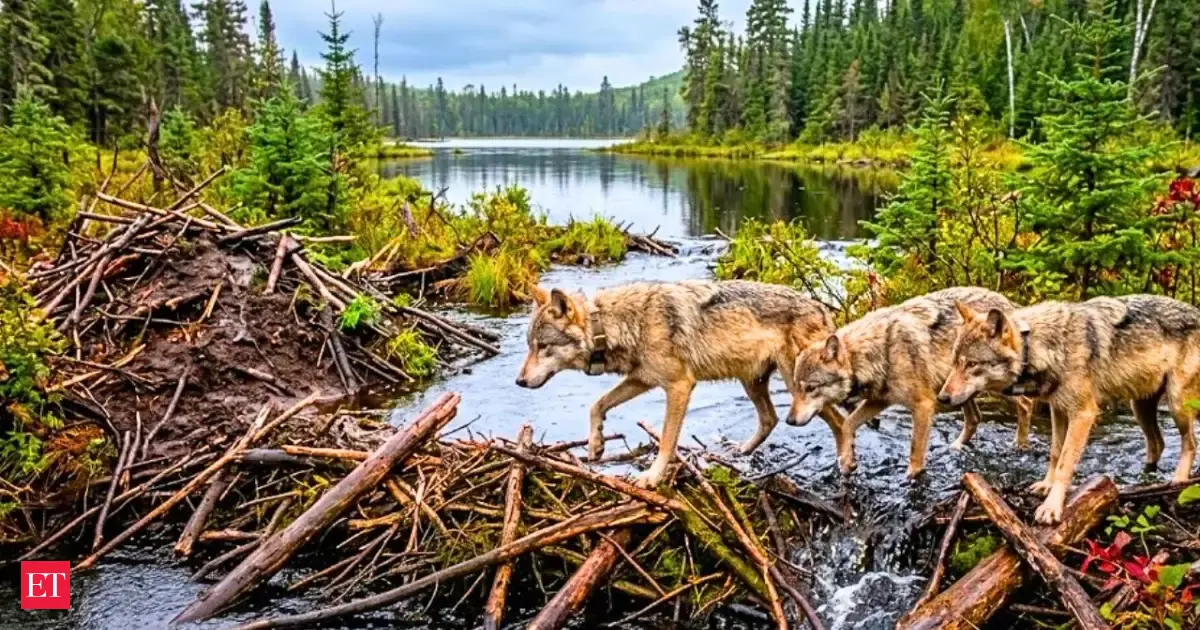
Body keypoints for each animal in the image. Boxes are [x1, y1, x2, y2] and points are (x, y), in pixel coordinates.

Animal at [516, 280, 848, 487]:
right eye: (529, 346)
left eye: (543, 347)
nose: (519, 381)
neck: (618, 324)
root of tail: (823, 309)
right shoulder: (641, 379)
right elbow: (597, 405)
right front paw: (596, 445)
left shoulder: (679, 386)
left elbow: (666, 440)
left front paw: (651, 478)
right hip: (753, 382)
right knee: (771, 418)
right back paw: (739, 452)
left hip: (800, 391)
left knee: (838, 421)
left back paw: (846, 464)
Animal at [789, 287, 1035, 477]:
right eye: (797, 388)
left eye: (810, 388)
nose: (789, 420)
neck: (881, 351)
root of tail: (1008, 303)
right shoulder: (879, 401)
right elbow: (847, 424)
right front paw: (847, 462)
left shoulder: (923, 405)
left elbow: (915, 450)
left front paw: (911, 478)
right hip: (956, 391)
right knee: (975, 418)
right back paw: (955, 447)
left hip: (994, 385)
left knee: (1026, 403)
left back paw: (1020, 446)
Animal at [939, 295, 1200, 524]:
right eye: (954, 362)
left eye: (971, 364)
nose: (942, 397)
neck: (1041, 347)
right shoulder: (1058, 409)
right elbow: (1055, 452)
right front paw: (1046, 485)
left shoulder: (1083, 414)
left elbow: (1065, 461)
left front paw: (1052, 507)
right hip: (1139, 407)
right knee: (1157, 443)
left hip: (1176, 403)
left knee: (1190, 443)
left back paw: (1178, 481)